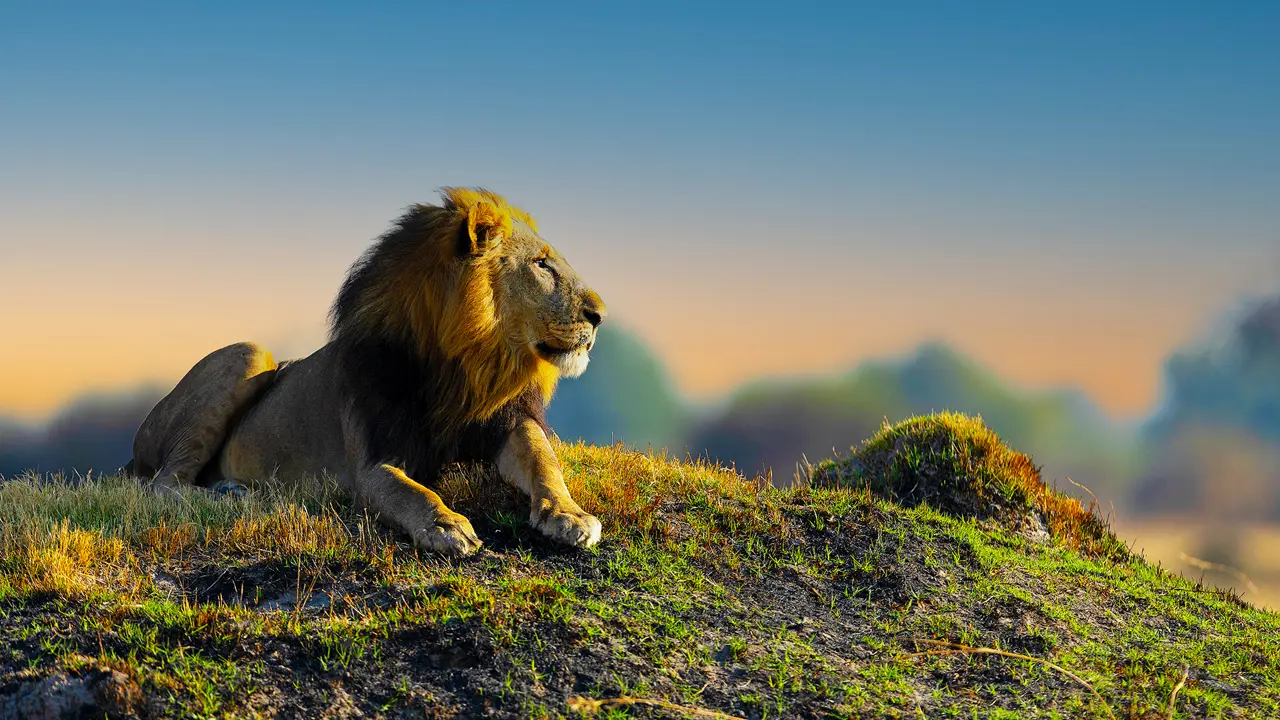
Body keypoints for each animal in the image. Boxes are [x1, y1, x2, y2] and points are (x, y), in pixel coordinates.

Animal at [127, 188, 606, 550]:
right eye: (541, 264)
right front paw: (445, 524)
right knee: (162, 485)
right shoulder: (372, 462)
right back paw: (235, 497)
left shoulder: (507, 422)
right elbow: (409, 490)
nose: (599, 314)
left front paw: (570, 514)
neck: (464, 366)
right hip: (250, 353)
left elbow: (545, 462)